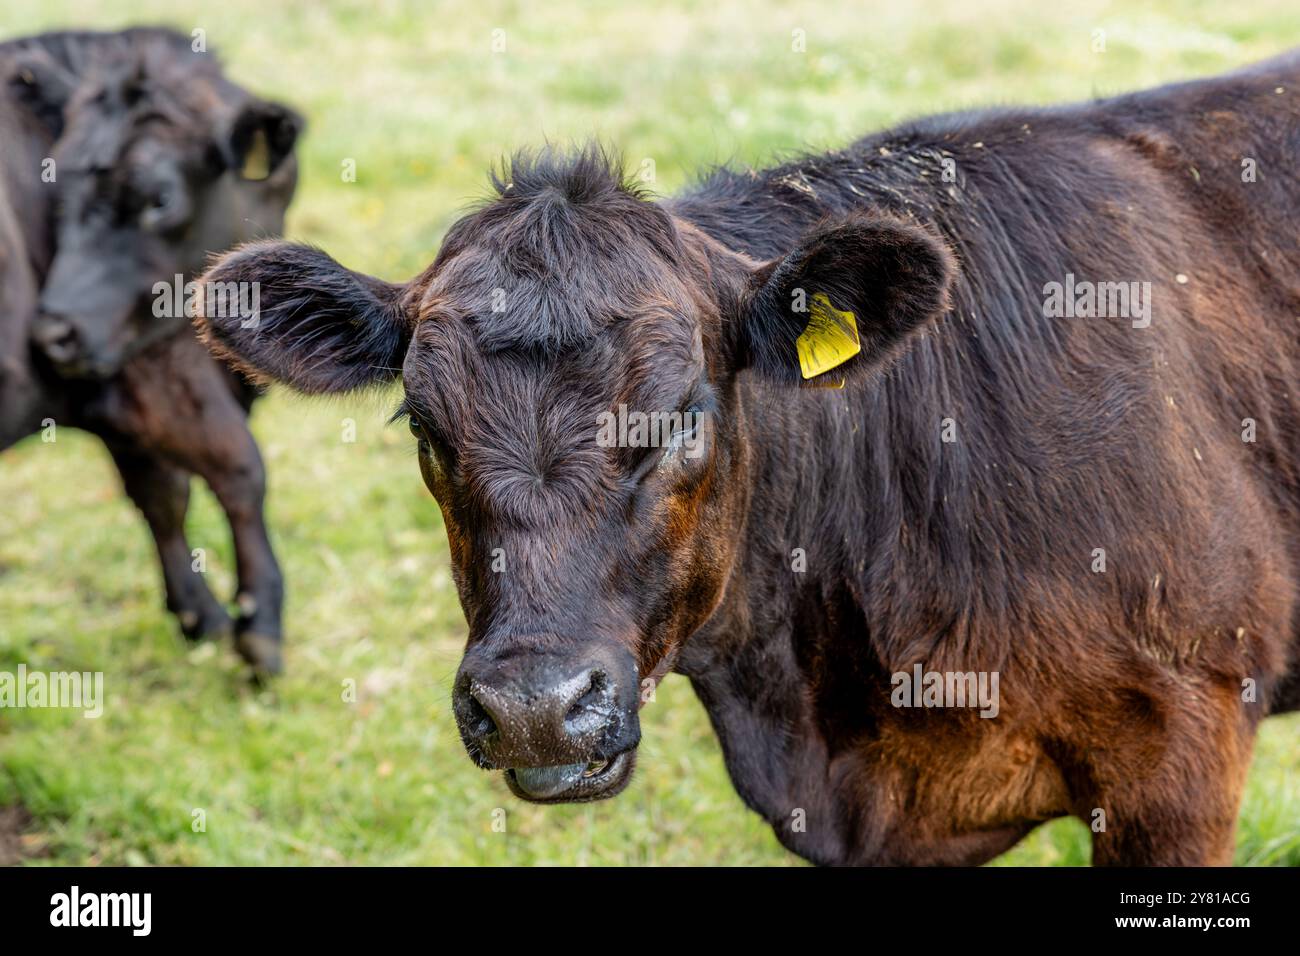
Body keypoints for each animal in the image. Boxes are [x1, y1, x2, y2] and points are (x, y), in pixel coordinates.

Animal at [0, 28, 300, 673]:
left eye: (158, 198)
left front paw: (199, 617)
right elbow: (239, 469)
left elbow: (159, 495)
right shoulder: (154, 368)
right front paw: (258, 624)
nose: (54, 333)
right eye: (58, 190)